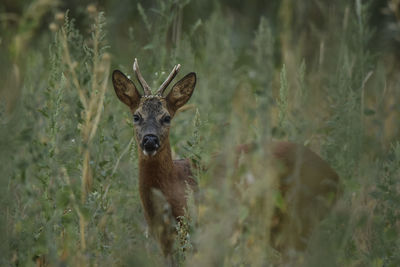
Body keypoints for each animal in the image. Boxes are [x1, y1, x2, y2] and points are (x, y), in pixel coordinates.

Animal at [111, 59, 340, 262]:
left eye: (166, 117)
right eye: (136, 116)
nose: (150, 140)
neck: (173, 185)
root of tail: (335, 178)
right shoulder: (165, 242)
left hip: (299, 220)